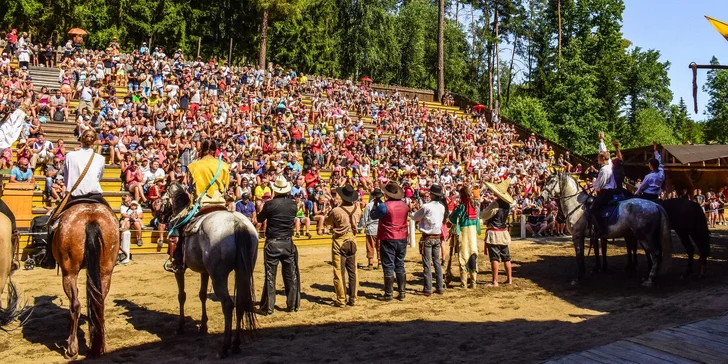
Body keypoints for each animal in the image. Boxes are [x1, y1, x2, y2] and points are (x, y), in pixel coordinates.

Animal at [51, 203, 120, 360]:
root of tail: (91, 217)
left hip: (69, 273)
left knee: (75, 305)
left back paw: (72, 348)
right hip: (105, 272)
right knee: (99, 305)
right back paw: (99, 347)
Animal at [159, 182, 258, 358]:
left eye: (163, 197)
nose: (159, 214)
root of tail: (237, 223)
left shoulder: (179, 271)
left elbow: (182, 296)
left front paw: (180, 327)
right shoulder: (205, 272)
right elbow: (202, 295)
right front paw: (203, 326)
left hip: (218, 276)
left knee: (228, 304)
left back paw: (224, 347)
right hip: (243, 272)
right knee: (240, 303)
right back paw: (236, 345)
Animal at [540, 171, 672, 288]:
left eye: (552, 181)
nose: (542, 196)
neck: (578, 206)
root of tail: (656, 206)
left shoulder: (577, 235)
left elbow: (579, 255)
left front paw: (579, 277)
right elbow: (595, 252)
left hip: (645, 237)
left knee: (655, 254)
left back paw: (649, 279)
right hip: (645, 236)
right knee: (652, 254)